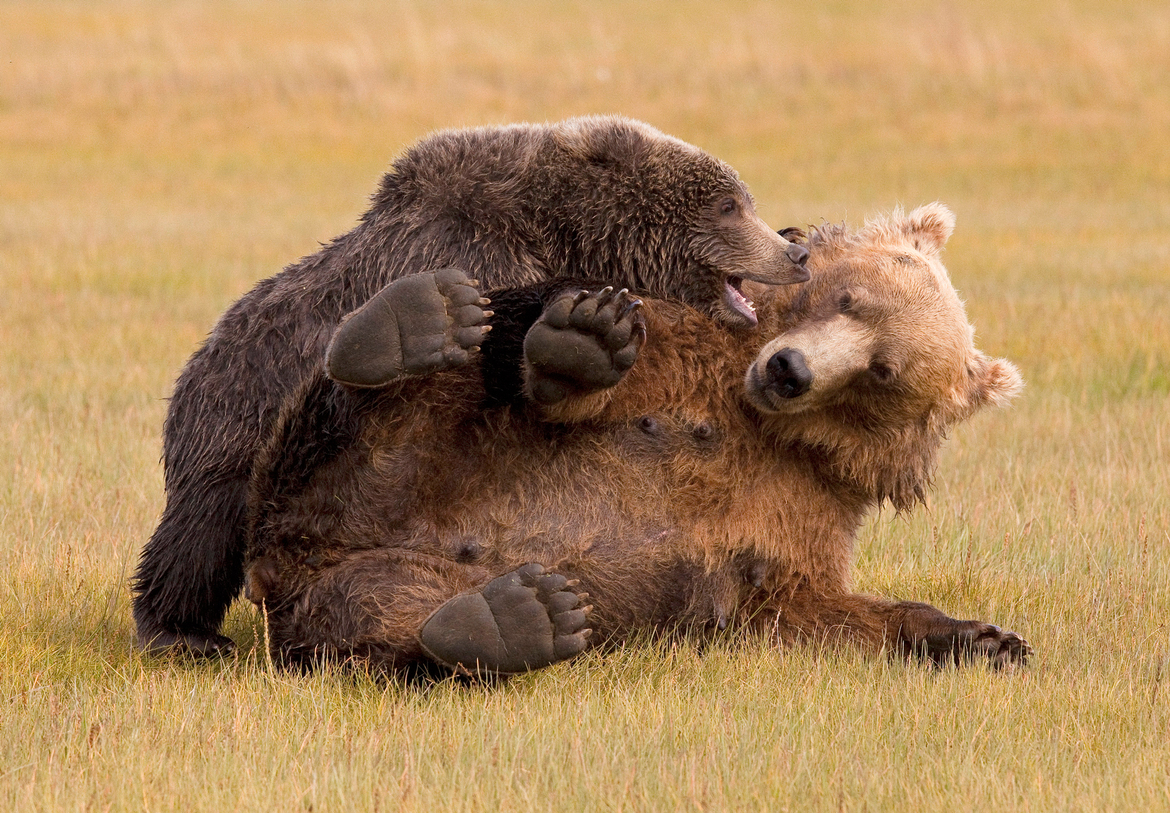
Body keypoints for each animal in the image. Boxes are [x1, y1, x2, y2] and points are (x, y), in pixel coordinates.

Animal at [132, 115, 812, 656]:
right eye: (729, 205)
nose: (794, 252)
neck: (562, 233)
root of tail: (199, 357)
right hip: (231, 418)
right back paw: (181, 632)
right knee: (201, 533)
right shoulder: (471, 256)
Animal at [242, 203, 1030, 677]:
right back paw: (404, 325)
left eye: (883, 369)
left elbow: (807, 608)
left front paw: (985, 638)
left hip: (373, 577)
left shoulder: (804, 510)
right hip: (377, 448)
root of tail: (289, 553)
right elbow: (580, 376)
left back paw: (513, 619)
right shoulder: (686, 342)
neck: (768, 427)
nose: (789, 369)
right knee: (411, 383)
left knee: (371, 621)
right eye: (846, 298)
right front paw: (580, 347)